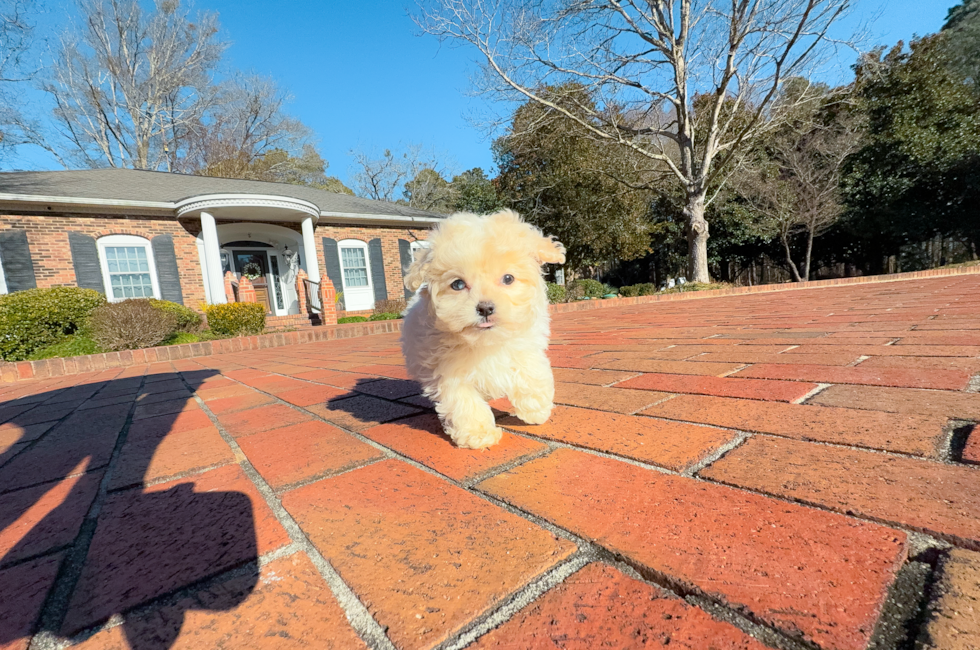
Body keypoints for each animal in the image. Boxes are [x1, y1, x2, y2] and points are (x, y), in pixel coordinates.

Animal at [400, 210, 568, 448]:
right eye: (458, 284)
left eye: (508, 278)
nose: (485, 308)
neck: (486, 342)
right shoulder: (449, 372)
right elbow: (465, 402)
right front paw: (478, 434)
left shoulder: (524, 346)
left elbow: (531, 371)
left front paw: (536, 409)